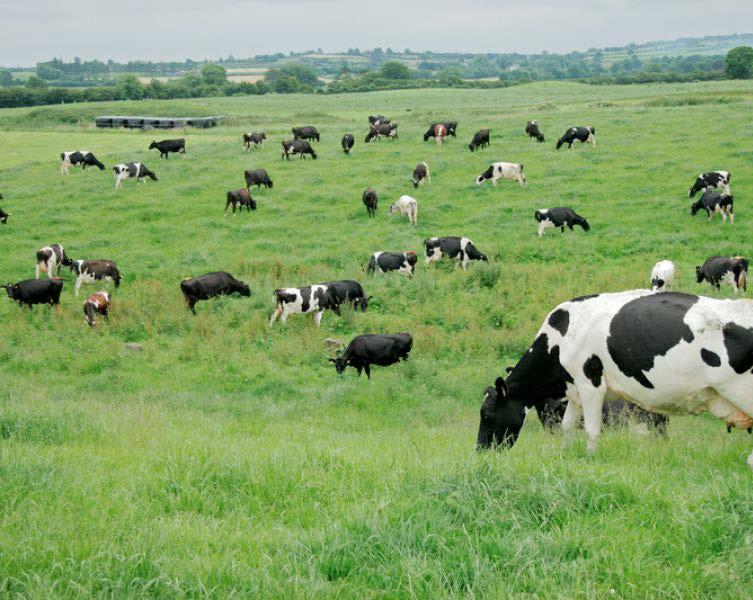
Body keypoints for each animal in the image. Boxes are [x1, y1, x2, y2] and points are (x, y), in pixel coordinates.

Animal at [476, 289, 753, 470]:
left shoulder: (590, 384)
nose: (479, 451)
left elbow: (591, 428)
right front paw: (564, 454)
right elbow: (567, 425)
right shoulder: (574, 389)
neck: (560, 338)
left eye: (487, 414)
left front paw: (590, 459)